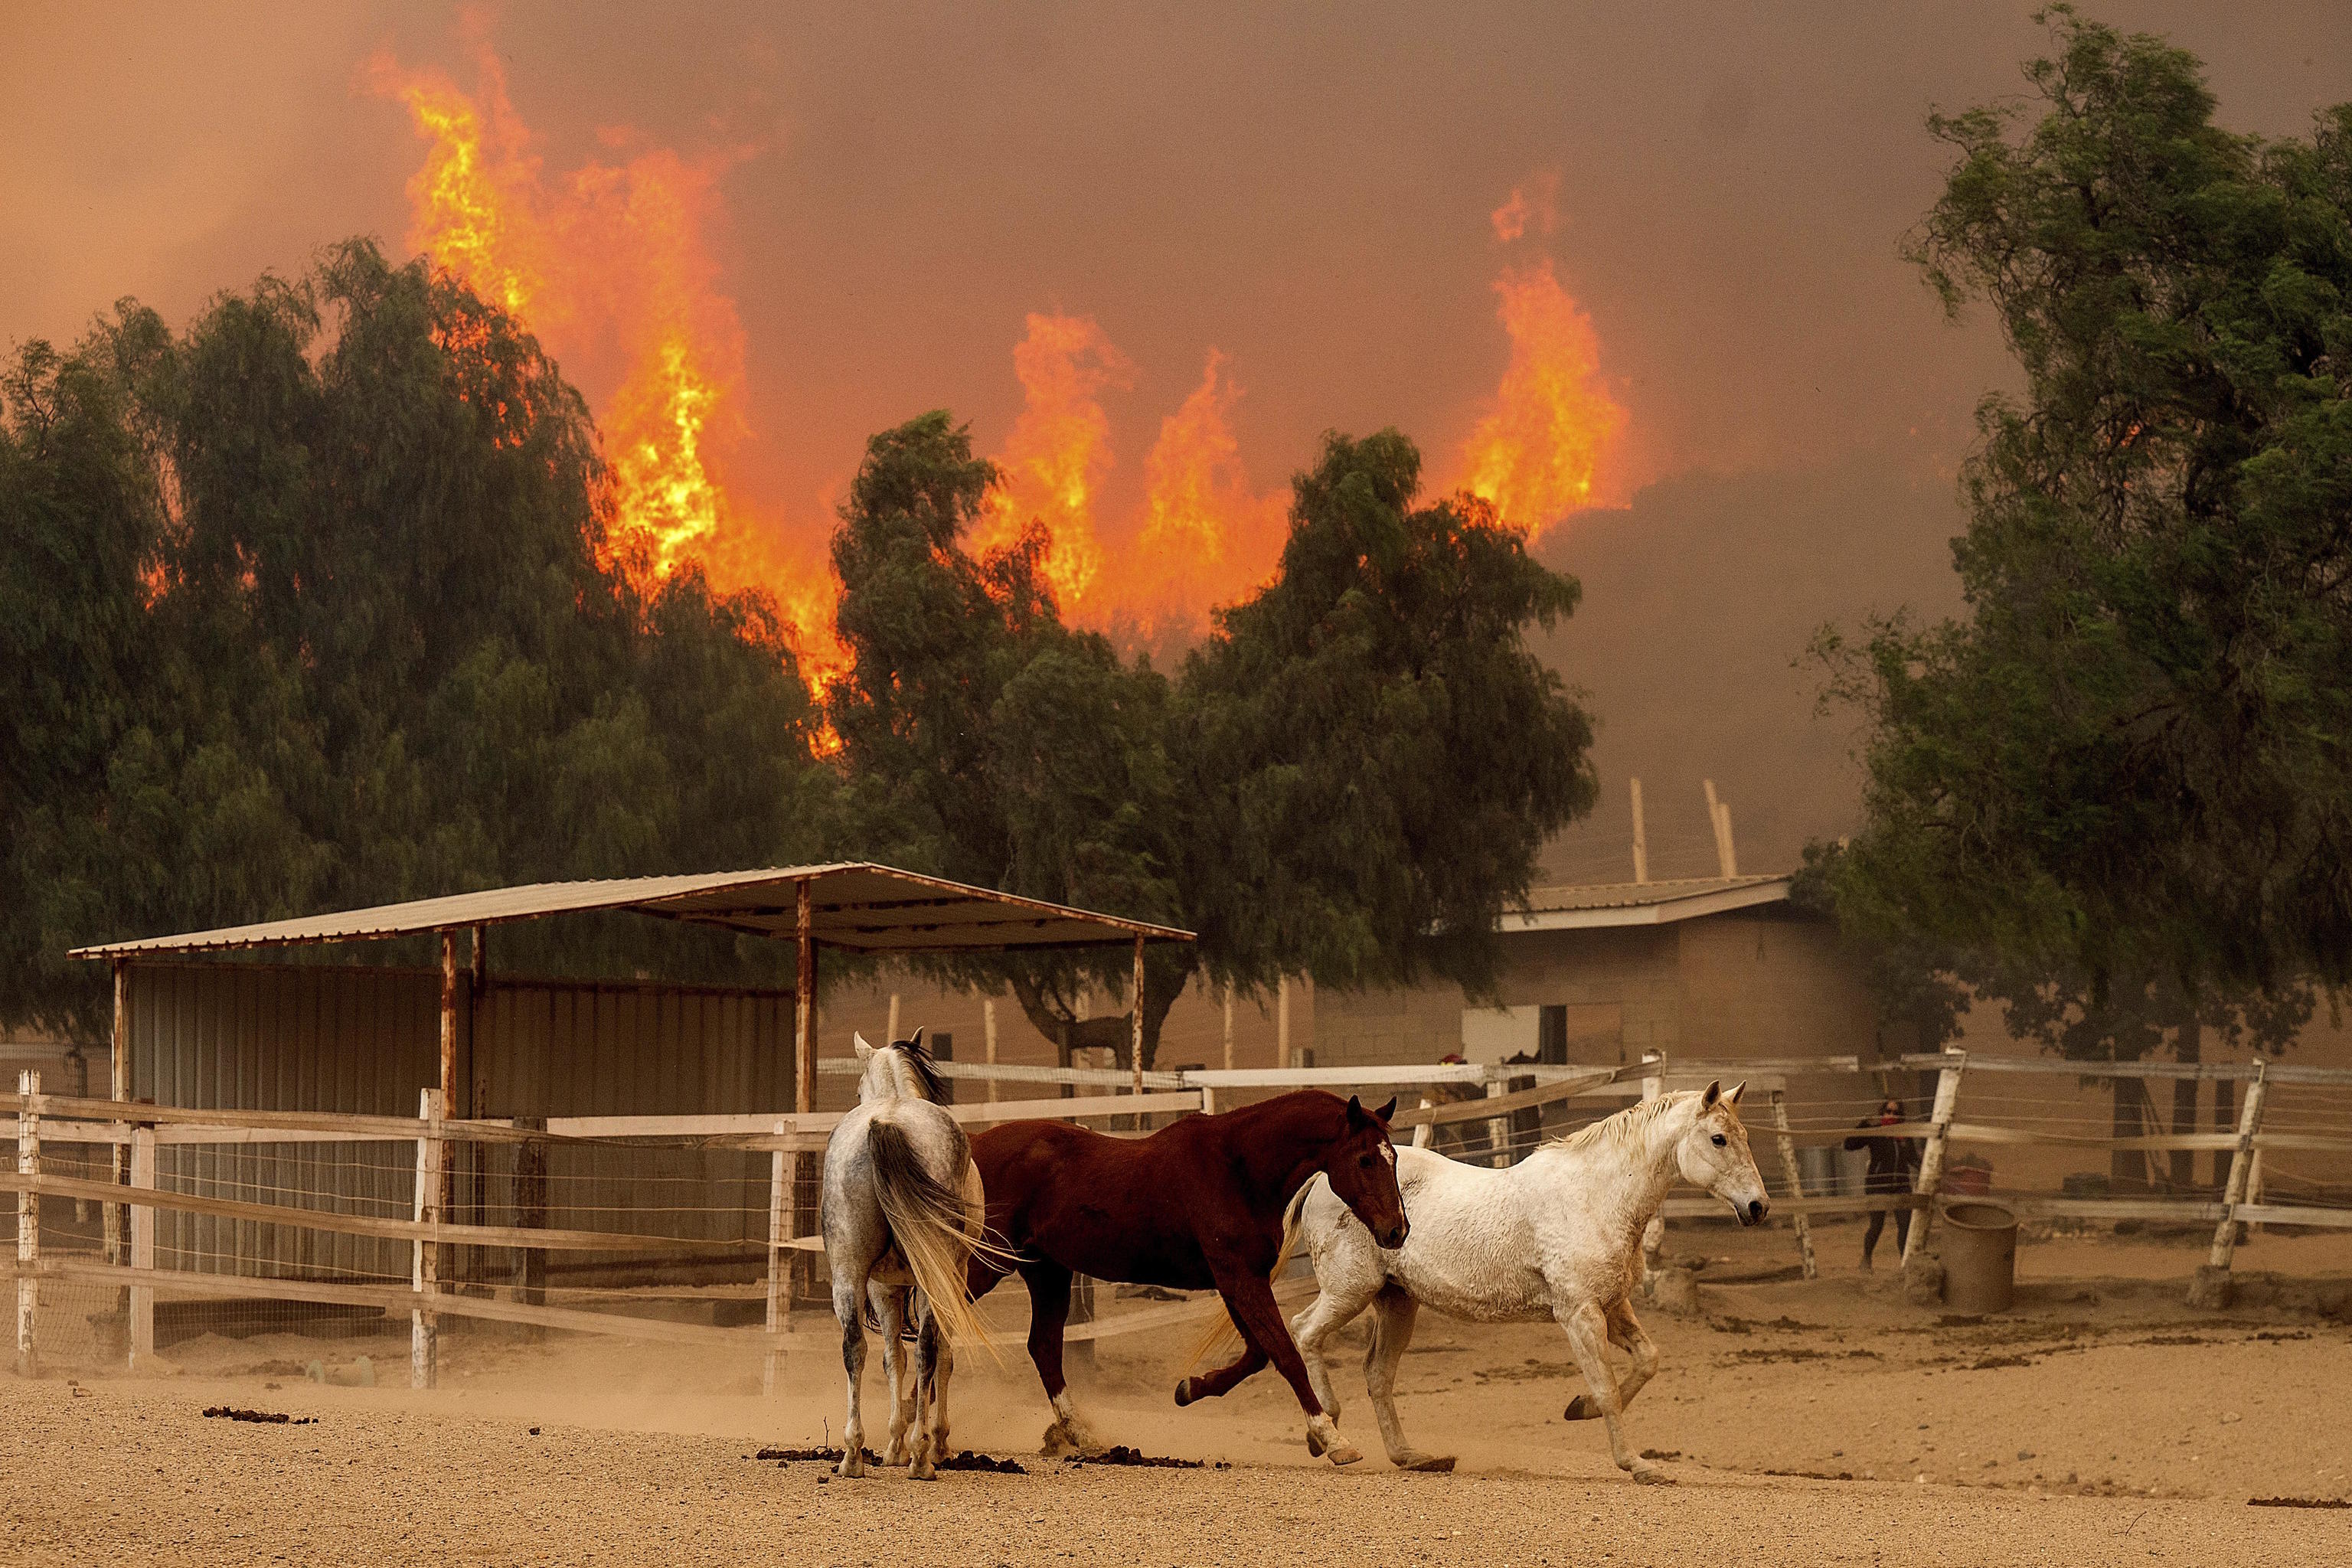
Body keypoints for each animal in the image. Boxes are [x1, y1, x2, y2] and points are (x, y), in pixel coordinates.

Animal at [828, 1029, 992, 1485]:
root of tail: (887, 1122)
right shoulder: (940, 1280)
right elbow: (937, 1358)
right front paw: (928, 1443)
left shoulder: (884, 1286)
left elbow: (891, 1359)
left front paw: (894, 1445)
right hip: (932, 1278)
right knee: (928, 1352)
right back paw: (921, 1457)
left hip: (847, 1274)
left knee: (855, 1347)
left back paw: (852, 1456)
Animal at [964, 1099, 1401, 1466]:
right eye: (1364, 1159)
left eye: (1393, 1157)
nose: (1397, 1230)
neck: (1237, 1168)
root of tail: (971, 1146)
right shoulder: (1240, 1278)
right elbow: (1285, 1355)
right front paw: (1333, 1439)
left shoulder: (1236, 1280)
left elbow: (1257, 1354)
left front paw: (1190, 1388)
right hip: (988, 1263)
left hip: (1047, 1272)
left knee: (1044, 1348)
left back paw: (1080, 1436)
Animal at [1289, 1086, 1769, 1476]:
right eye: (1719, 1139)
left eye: (1745, 1136)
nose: (1758, 1207)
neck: (1596, 1197)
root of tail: (1324, 1180)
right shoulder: (1580, 1315)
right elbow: (1608, 1389)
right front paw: (1636, 1465)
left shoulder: (1612, 1306)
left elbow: (1647, 1360)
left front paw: (1579, 1409)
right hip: (1349, 1290)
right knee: (1304, 1332)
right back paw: (1329, 1438)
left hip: (1397, 1301)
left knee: (1378, 1373)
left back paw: (1411, 1457)